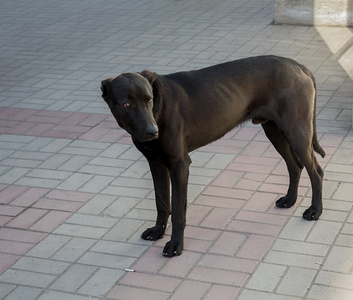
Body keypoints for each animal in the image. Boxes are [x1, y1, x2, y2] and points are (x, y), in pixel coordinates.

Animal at [101, 56, 324, 258]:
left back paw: (315, 210)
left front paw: (175, 245)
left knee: (317, 172)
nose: (152, 131)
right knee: (295, 166)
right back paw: (290, 200)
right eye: (127, 104)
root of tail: (298, 65)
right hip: (274, 130)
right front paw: (158, 231)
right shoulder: (156, 163)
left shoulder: (179, 165)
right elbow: (162, 202)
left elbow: (178, 211)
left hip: (296, 132)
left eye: (149, 100)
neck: (159, 109)